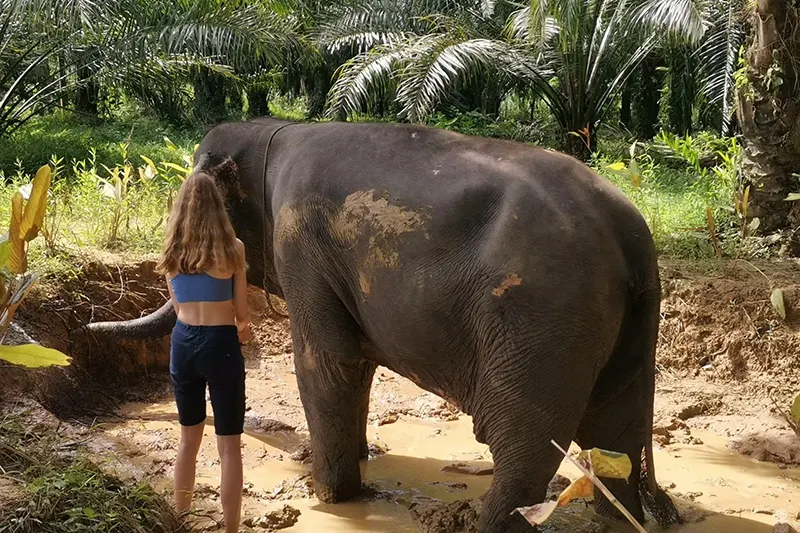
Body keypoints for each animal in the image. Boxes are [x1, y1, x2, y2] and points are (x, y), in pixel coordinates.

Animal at [80, 117, 681, 532]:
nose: (86, 328)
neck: (271, 129)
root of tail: (630, 236)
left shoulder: (301, 242)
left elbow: (327, 363)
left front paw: (330, 497)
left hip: (539, 322)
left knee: (524, 444)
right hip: (622, 325)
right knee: (617, 432)